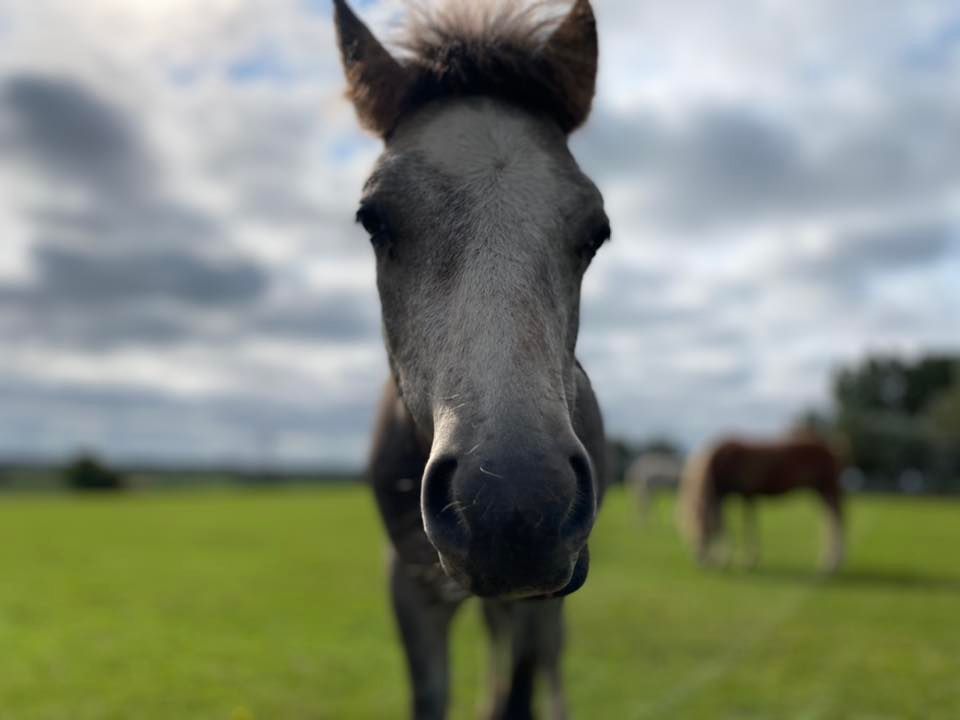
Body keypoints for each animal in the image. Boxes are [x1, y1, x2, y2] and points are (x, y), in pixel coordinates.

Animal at [332, 2, 608, 716]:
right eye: (373, 219)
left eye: (596, 232)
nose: (513, 508)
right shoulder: (409, 586)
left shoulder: (543, 594)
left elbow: (521, 689)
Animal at [680, 436, 844, 572]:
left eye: (700, 527)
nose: (699, 559)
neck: (722, 461)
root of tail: (832, 450)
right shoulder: (730, 496)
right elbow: (725, 523)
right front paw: (726, 560)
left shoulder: (746, 495)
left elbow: (745, 525)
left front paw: (743, 561)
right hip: (820, 491)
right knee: (828, 519)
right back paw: (827, 560)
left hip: (829, 488)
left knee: (837, 520)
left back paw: (832, 563)